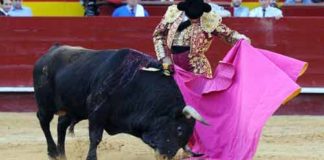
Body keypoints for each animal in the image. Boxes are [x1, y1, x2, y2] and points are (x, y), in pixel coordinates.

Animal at [33, 44, 205, 159]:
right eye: (179, 129)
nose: (166, 156)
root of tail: (50, 51)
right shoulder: (97, 110)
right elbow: (95, 137)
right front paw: (91, 158)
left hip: (72, 107)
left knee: (61, 125)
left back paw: (61, 155)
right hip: (46, 104)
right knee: (43, 121)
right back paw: (52, 152)